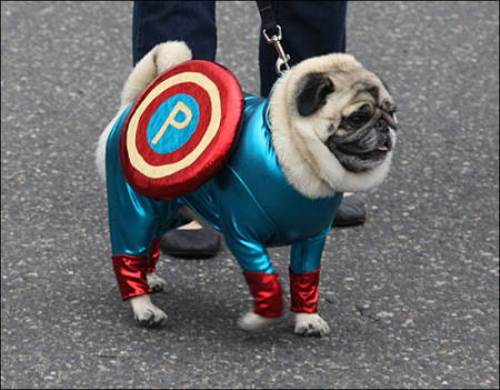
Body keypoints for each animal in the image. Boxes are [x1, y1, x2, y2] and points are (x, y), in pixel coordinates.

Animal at [95, 41, 396, 336]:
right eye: (357, 118)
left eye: (391, 111)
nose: (385, 126)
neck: (289, 150)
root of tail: (133, 104)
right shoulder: (243, 235)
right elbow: (266, 280)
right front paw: (258, 319)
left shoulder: (312, 238)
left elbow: (306, 279)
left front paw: (307, 319)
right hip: (135, 207)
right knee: (128, 255)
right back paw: (144, 307)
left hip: (172, 208)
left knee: (150, 242)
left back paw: (149, 278)